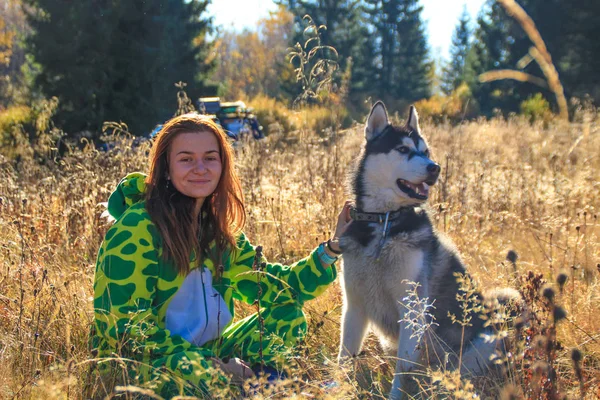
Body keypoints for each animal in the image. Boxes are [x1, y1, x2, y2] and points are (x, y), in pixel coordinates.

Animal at [338, 101, 520, 398]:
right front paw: (334, 387)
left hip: (482, 340)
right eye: (402, 150)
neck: (384, 224)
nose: (435, 168)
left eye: (426, 152)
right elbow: (343, 358)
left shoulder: (412, 310)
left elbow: (402, 372)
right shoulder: (354, 306)